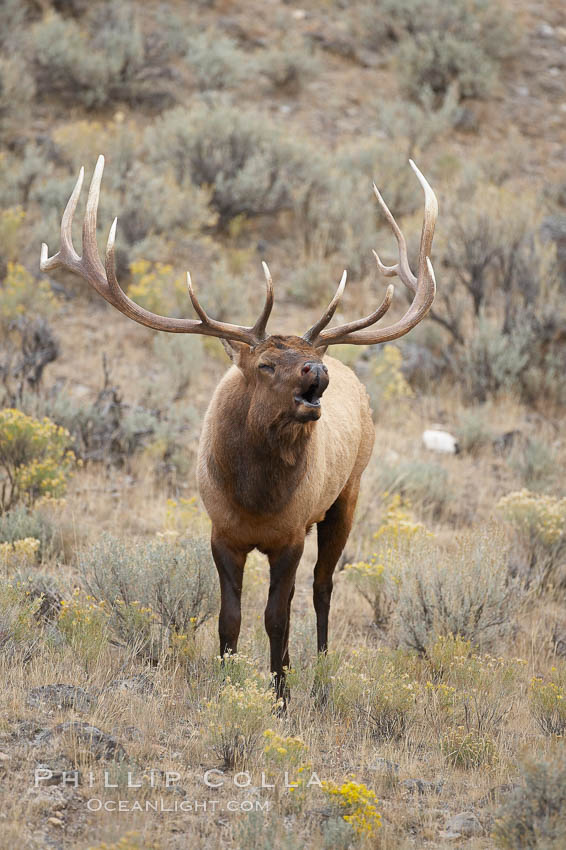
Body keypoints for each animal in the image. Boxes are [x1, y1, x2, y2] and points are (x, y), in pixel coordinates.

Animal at [41, 156, 440, 700]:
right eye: (266, 364)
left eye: (306, 358)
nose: (317, 370)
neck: (255, 499)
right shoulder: (222, 532)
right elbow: (229, 619)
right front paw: (225, 681)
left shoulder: (290, 535)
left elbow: (276, 619)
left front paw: (281, 694)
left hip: (348, 493)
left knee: (323, 586)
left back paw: (322, 669)